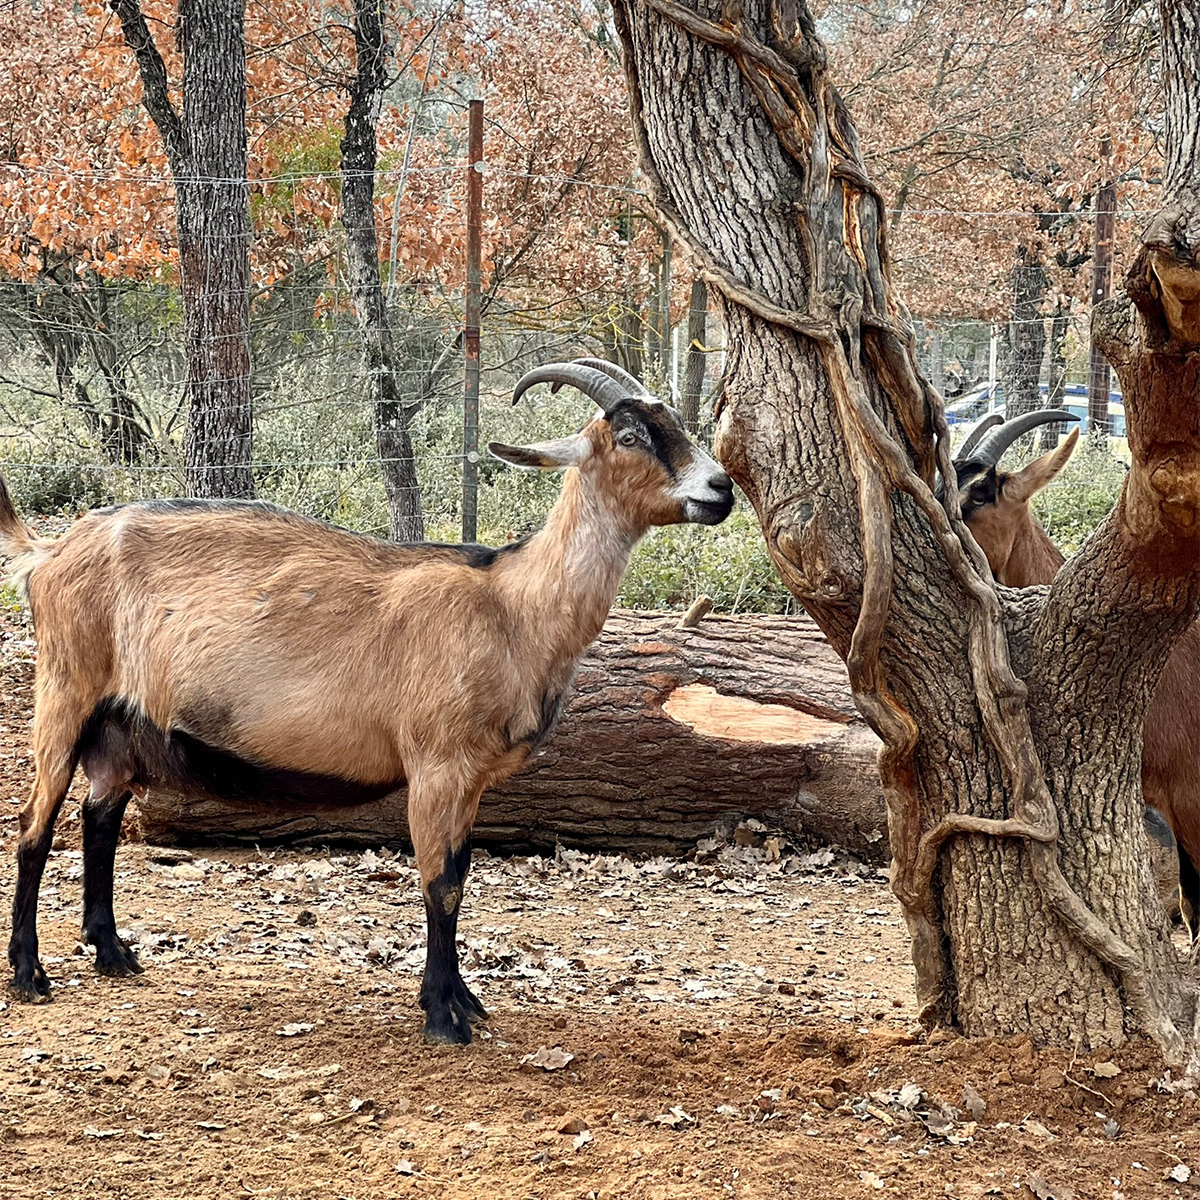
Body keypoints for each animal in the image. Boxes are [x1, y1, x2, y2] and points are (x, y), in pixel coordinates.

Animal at [2, 355, 729, 1041]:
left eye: (677, 425)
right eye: (631, 436)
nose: (720, 488)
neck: (511, 604)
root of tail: (48, 553)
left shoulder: (471, 780)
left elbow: (460, 875)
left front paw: (465, 999)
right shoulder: (436, 765)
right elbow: (441, 884)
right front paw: (444, 1018)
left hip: (122, 729)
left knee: (99, 819)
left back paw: (112, 954)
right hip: (65, 689)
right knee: (35, 825)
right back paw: (30, 974)